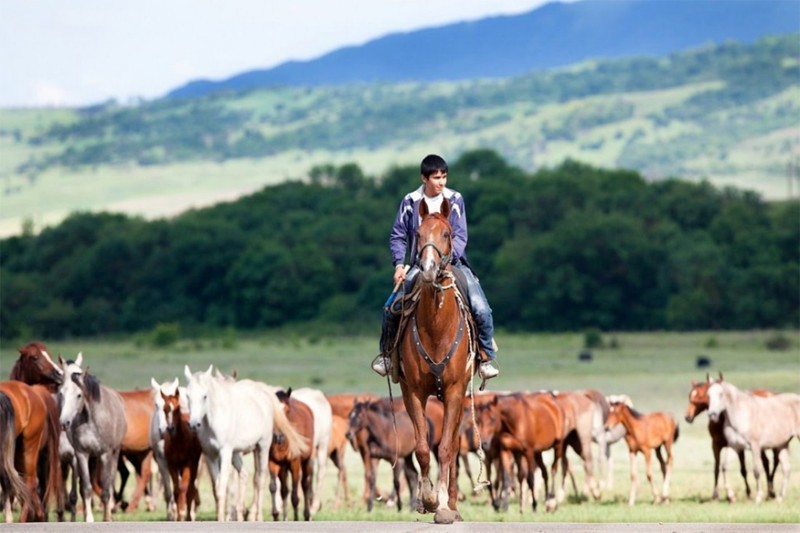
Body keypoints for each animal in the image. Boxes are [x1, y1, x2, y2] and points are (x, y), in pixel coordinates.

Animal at [57, 354, 127, 520]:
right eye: (61, 393)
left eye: (79, 395)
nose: (64, 422)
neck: (91, 419)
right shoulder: (82, 454)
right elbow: (86, 488)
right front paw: (88, 519)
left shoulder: (105, 454)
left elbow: (106, 490)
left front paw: (106, 518)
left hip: (114, 454)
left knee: (111, 482)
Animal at [183, 362, 308, 520]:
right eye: (187, 396)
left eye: (205, 396)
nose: (194, 424)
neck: (213, 420)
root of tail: (262, 392)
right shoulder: (210, 455)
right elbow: (217, 490)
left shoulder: (225, 453)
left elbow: (223, 488)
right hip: (238, 453)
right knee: (244, 475)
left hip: (262, 448)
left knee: (259, 481)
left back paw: (257, 516)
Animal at [680, 372, 776, 500]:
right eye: (690, 396)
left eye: (699, 397)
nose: (687, 417)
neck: (721, 420)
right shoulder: (716, 445)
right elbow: (717, 468)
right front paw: (715, 495)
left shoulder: (737, 447)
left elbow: (742, 470)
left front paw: (747, 492)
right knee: (766, 462)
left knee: (768, 462)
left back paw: (771, 491)